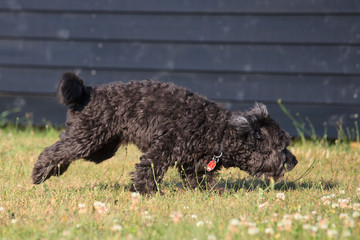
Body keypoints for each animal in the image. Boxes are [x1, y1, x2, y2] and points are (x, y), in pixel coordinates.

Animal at [31, 72, 296, 194]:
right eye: (281, 146)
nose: (294, 161)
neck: (218, 131)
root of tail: (88, 91)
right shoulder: (163, 149)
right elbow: (148, 169)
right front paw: (145, 192)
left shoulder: (193, 164)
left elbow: (200, 179)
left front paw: (214, 192)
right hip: (88, 137)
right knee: (56, 150)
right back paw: (39, 172)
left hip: (100, 148)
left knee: (65, 151)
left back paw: (52, 171)